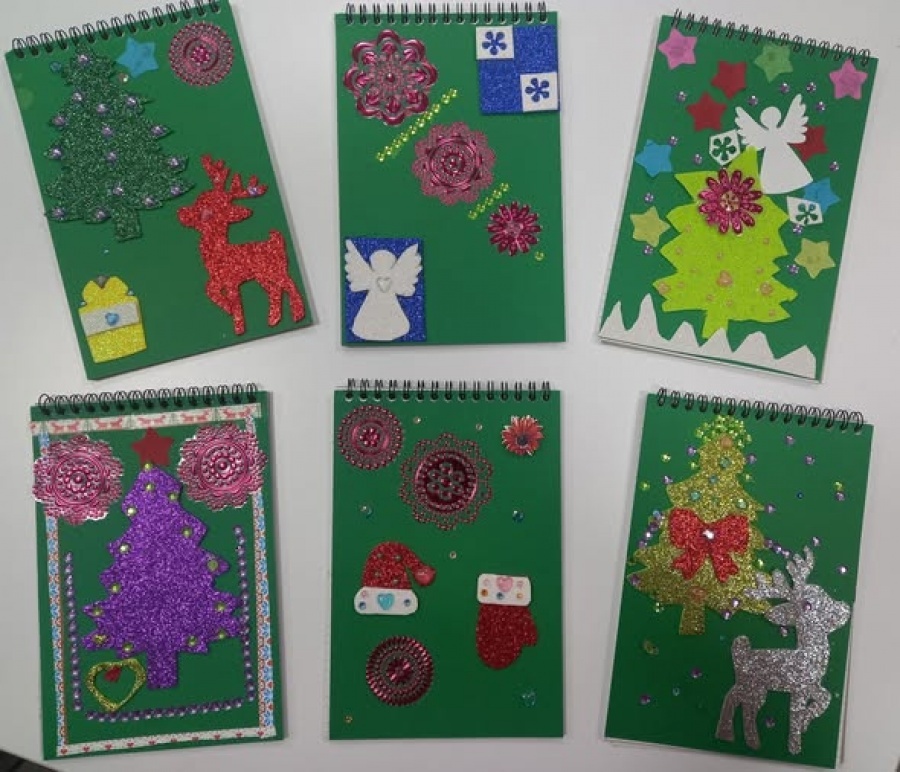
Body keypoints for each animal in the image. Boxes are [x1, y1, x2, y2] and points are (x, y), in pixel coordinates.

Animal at [178, 155, 305, 336]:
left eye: (207, 211)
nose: (181, 212)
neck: (219, 252)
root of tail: (276, 241)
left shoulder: (231, 280)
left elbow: (236, 303)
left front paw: (238, 326)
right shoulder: (217, 279)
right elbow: (209, 290)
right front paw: (228, 309)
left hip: (275, 270)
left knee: (289, 284)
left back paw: (297, 314)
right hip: (261, 276)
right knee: (275, 291)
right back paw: (273, 320)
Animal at [716, 546, 850, 756]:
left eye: (826, 593)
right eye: (807, 605)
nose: (845, 609)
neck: (808, 656)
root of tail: (740, 654)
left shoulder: (813, 685)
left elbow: (826, 697)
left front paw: (805, 721)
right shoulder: (799, 687)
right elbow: (794, 715)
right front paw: (795, 745)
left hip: (756, 688)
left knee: (743, 705)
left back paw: (744, 740)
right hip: (750, 683)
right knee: (736, 700)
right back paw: (734, 736)